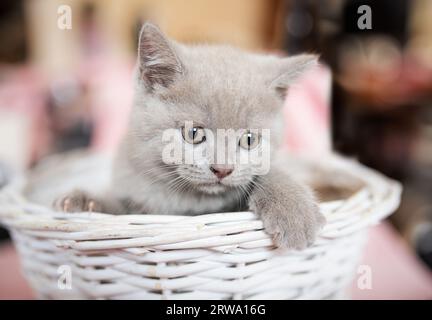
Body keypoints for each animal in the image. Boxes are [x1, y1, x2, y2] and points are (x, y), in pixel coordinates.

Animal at [54, 23, 324, 250]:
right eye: (193, 134)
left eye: (249, 140)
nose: (222, 169)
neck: (192, 203)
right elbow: (123, 212)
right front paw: (84, 201)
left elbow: (267, 172)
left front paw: (294, 212)